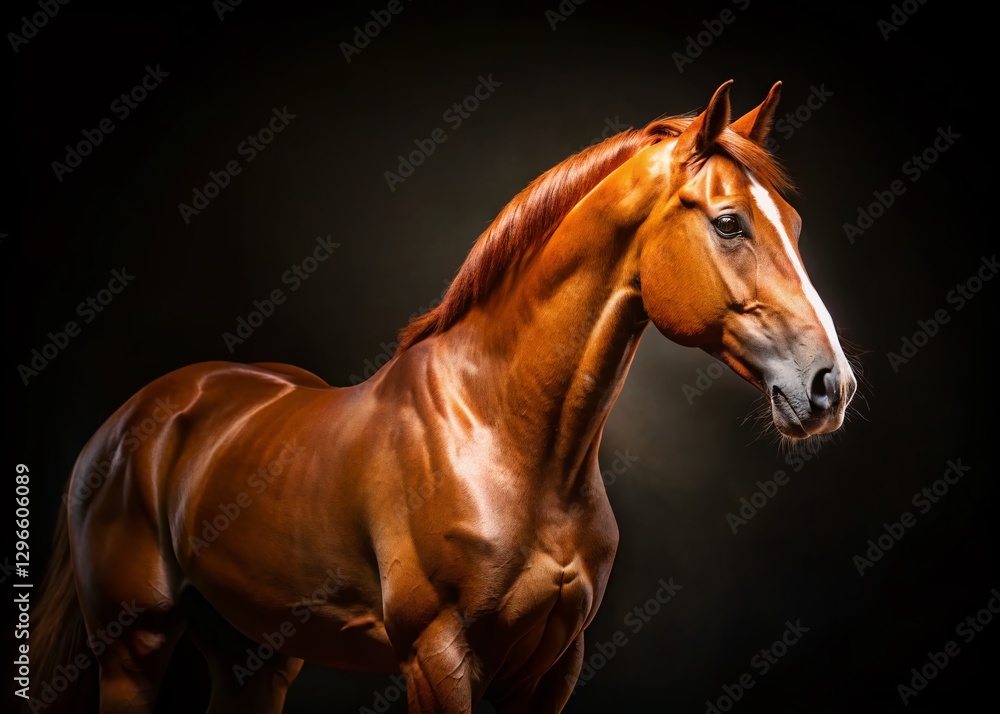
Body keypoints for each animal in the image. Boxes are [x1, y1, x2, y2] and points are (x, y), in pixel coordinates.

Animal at [30, 80, 856, 713]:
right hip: (135, 648)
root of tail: (129, 422)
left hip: (255, 656)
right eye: (730, 222)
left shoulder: (550, 669)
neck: (501, 435)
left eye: (794, 223)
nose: (830, 385)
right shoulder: (438, 657)